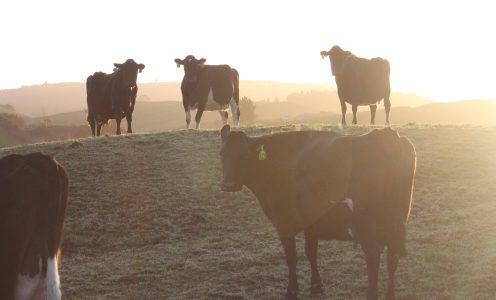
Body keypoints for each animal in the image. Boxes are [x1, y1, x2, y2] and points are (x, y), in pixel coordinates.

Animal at [219, 125, 416, 298]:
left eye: (245, 155)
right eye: (222, 154)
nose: (229, 185)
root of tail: (386, 133)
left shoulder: (284, 224)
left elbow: (292, 257)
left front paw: (292, 291)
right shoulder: (311, 224)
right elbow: (310, 252)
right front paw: (316, 286)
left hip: (367, 226)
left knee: (373, 256)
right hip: (395, 223)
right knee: (392, 258)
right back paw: (390, 295)